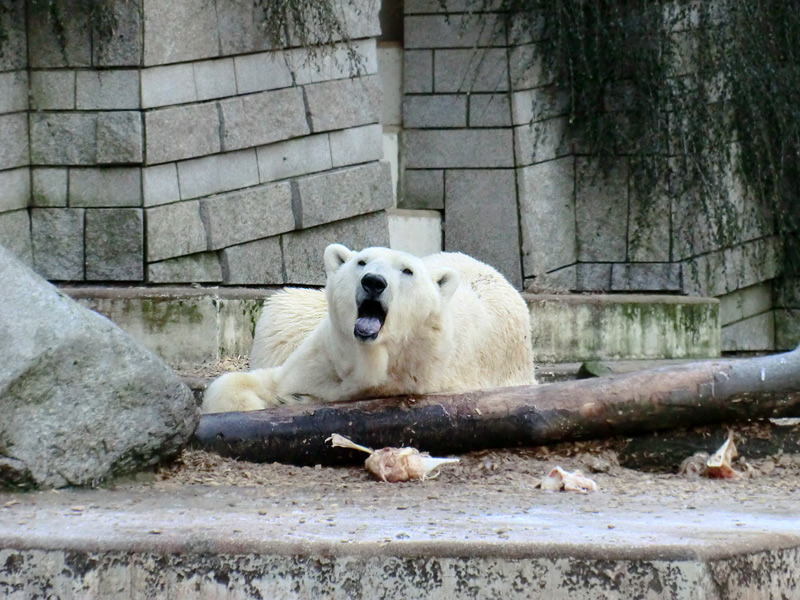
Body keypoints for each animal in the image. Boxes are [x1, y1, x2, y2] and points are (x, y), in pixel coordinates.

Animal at [200, 244, 536, 412]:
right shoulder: (326, 357)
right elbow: (270, 380)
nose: (373, 281)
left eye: (407, 271)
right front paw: (266, 399)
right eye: (361, 261)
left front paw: (297, 400)